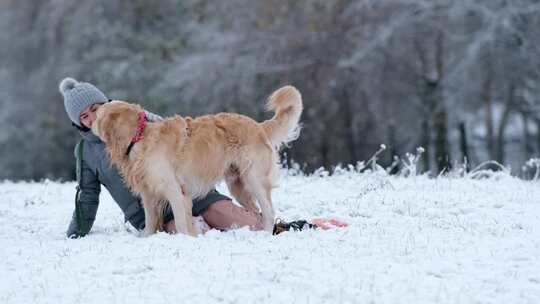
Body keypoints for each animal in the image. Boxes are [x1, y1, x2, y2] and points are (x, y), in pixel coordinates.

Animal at [93, 85, 304, 235]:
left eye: (97, 112)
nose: (91, 120)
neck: (139, 137)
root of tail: (259, 126)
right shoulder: (149, 194)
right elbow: (151, 222)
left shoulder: (174, 189)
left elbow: (180, 222)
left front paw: (185, 239)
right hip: (238, 184)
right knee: (254, 213)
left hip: (254, 178)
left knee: (268, 211)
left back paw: (266, 234)